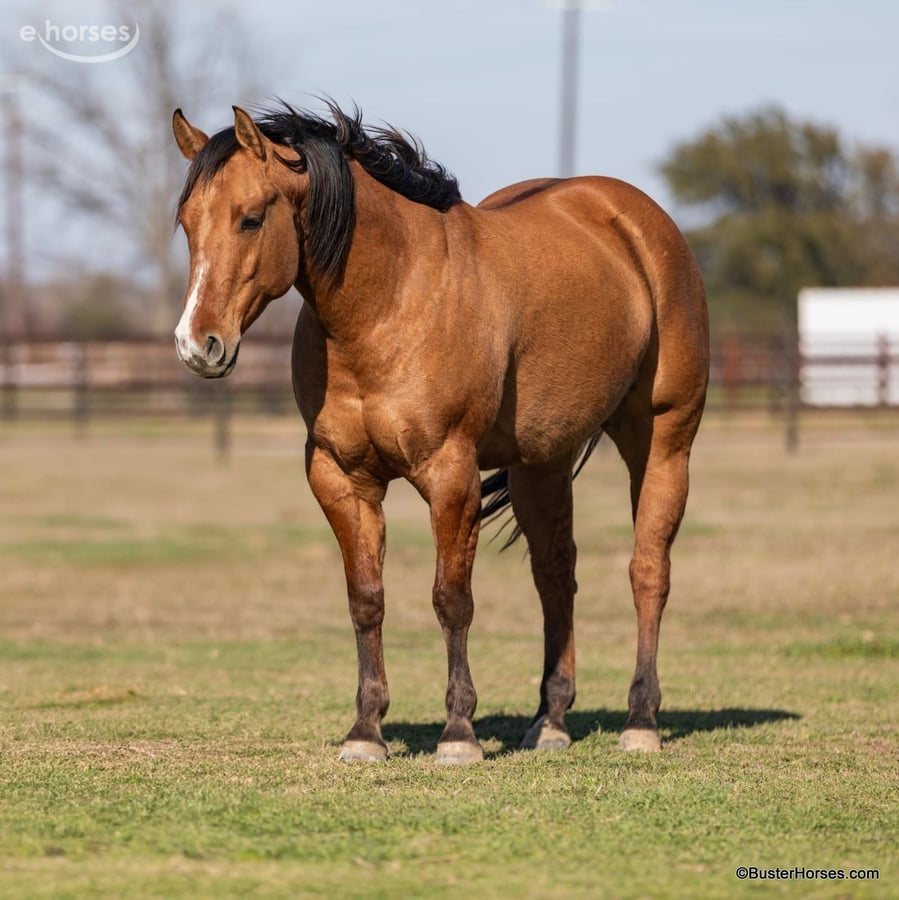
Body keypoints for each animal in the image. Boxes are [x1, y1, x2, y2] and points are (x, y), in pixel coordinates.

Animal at [172, 102, 709, 763]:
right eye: (186, 223)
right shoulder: (340, 477)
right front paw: (365, 730)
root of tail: (637, 221)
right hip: (542, 463)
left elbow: (451, 599)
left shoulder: (451, 474)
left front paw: (458, 733)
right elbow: (366, 598)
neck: (390, 302)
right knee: (556, 576)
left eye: (249, 219)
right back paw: (551, 720)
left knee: (648, 572)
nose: (196, 345)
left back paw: (641, 720)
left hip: (662, 442)